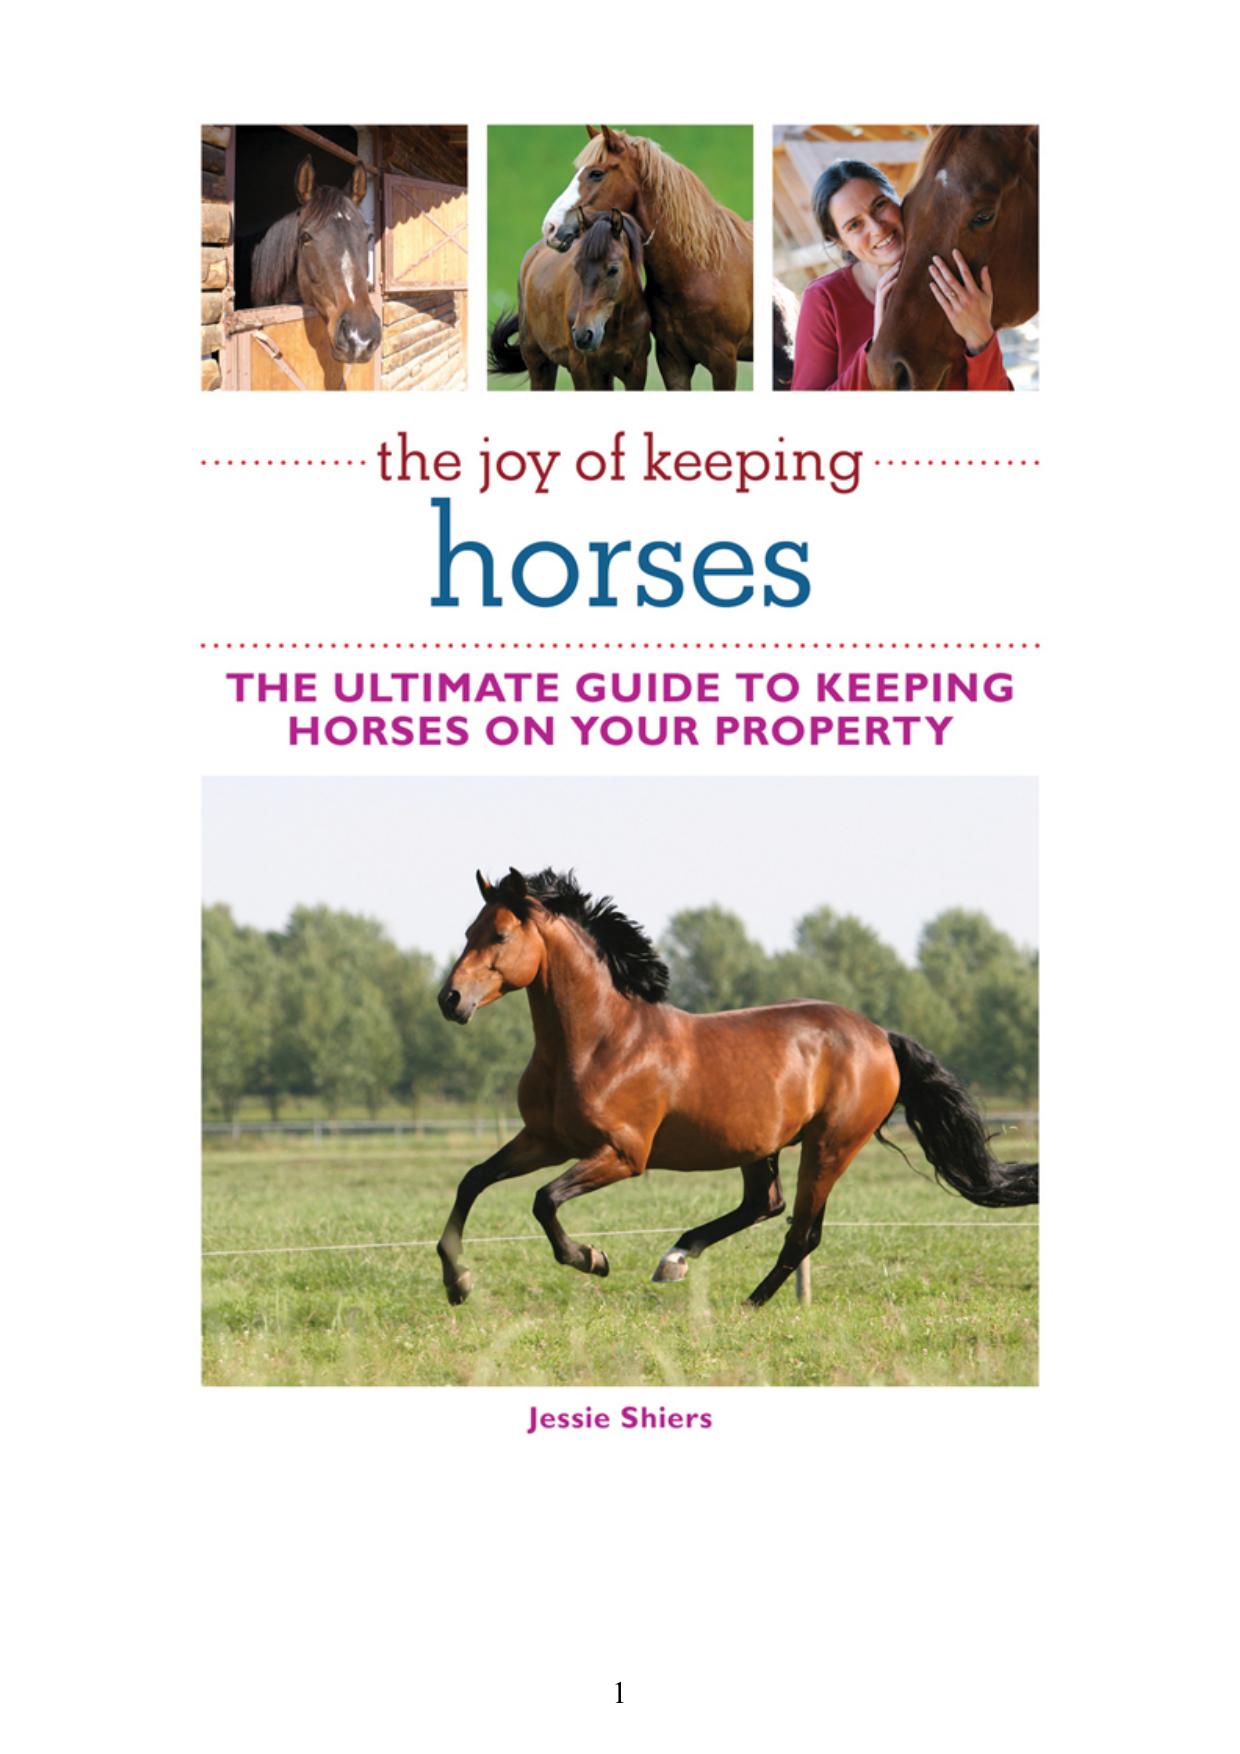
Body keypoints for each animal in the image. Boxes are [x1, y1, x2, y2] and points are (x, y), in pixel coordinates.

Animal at [435, 868, 1038, 1310]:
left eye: (500, 935)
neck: (599, 1042)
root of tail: (880, 1036)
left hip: (830, 1146)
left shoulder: (622, 1155)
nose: (450, 1000)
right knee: (765, 1205)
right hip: (760, 1146)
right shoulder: (545, 1140)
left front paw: (591, 1258)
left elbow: (544, 1200)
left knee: (801, 1232)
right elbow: (472, 1181)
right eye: (467, 933)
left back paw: (749, 1302)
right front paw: (457, 1283)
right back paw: (677, 1258)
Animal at [490, 210, 651, 391]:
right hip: (539, 364)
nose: (583, 334)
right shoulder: (583, 370)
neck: (616, 325)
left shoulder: (635, 371)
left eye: (613, 269)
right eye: (577, 267)